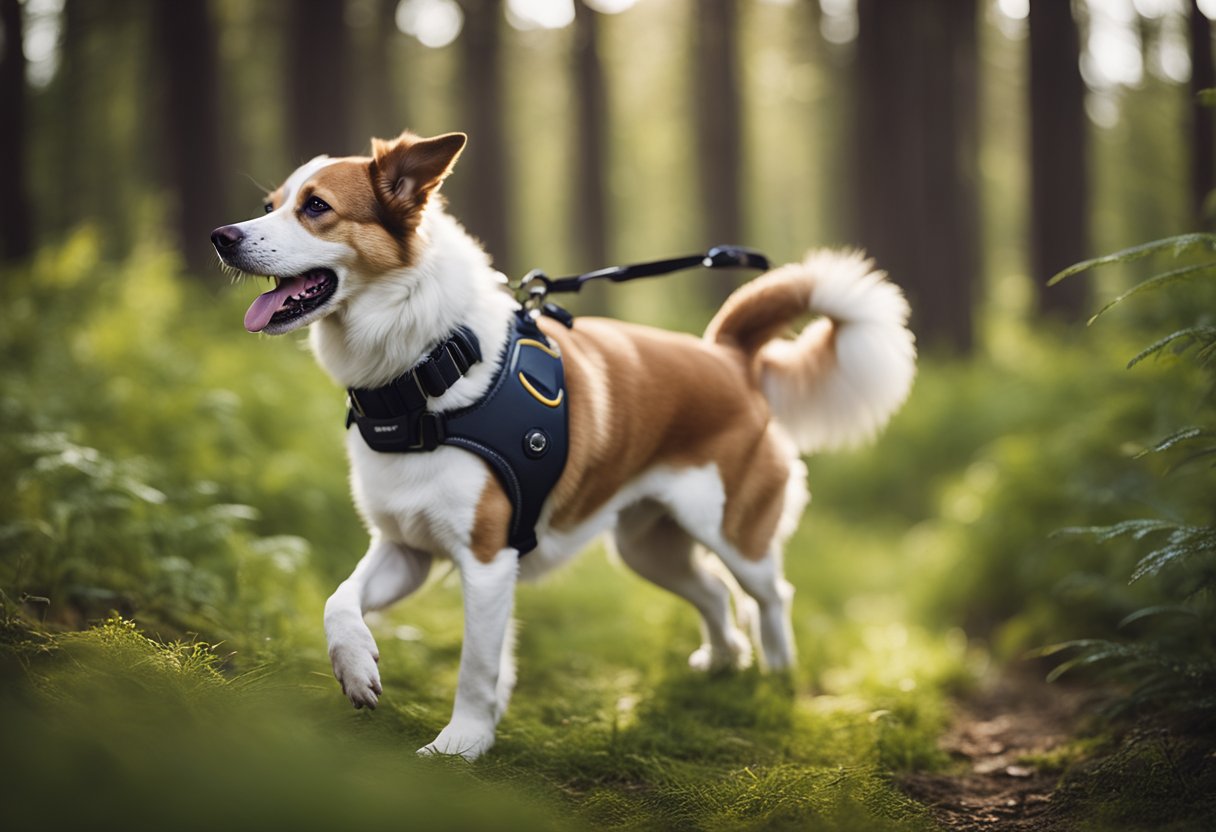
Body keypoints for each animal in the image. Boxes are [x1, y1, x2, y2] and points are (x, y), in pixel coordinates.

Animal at [211, 130, 914, 759]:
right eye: (272, 202)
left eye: (316, 207)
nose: (222, 236)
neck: (426, 374)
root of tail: (727, 354)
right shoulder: (404, 549)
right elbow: (339, 603)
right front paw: (356, 669)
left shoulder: (489, 561)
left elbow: (476, 667)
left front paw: (462, 743)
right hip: (647, 546)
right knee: (714, 592)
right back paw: (722, 661)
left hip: (734, 530)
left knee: (768, 595)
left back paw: (777, 673)